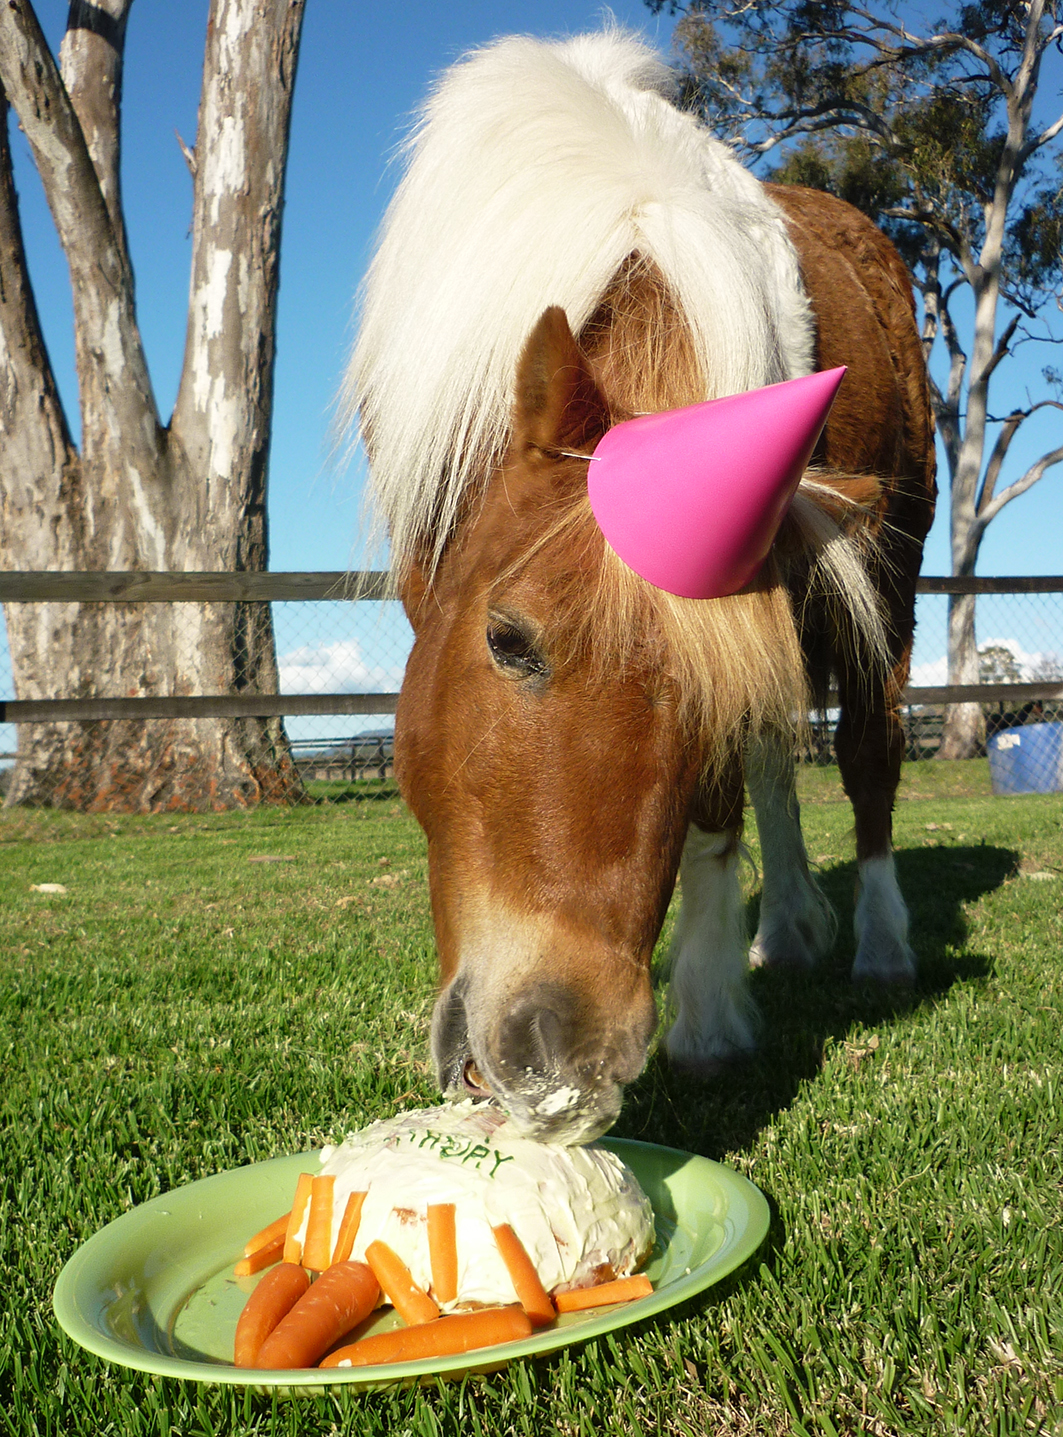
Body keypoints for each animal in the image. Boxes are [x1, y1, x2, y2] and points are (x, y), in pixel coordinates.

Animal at [344, 28, 936, 1138]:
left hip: (897, 557)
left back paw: (878, 942)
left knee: (868, 750)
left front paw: (708, 1018)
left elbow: (720, 802)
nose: (562, 1057)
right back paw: (787, 926)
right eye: (509, 640)